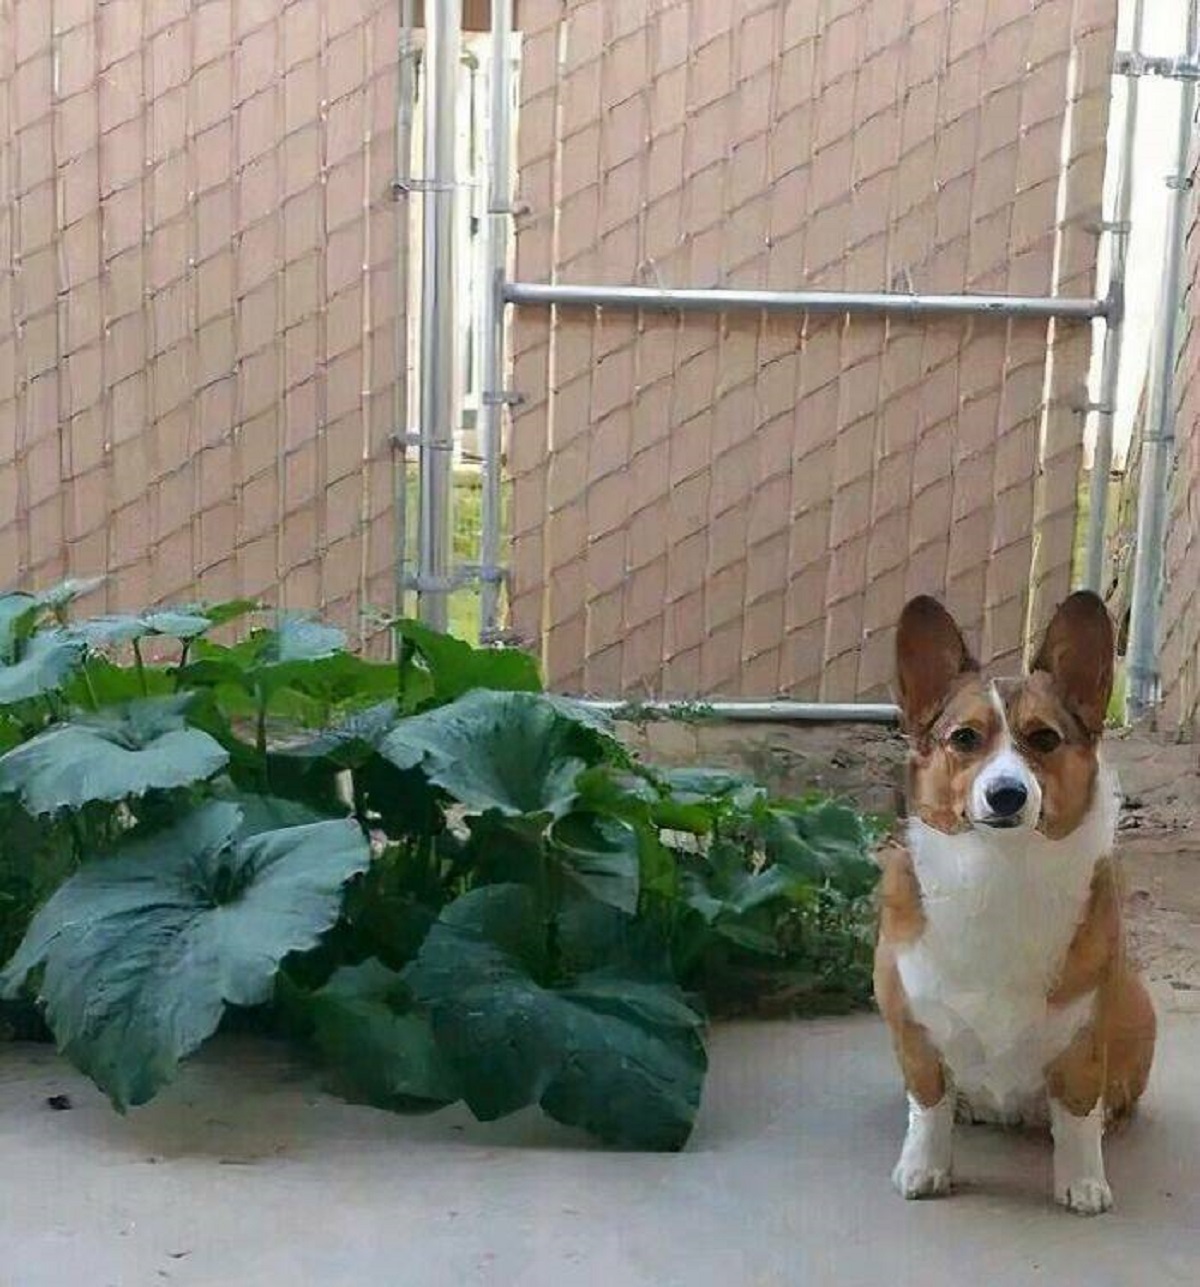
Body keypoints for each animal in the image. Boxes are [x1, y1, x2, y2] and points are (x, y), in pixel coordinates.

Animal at [875, 589, 1158, 1209]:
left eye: (1045, 739)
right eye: (964, 739)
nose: (1006, 795)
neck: (1001, 869)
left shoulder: (1084, 1034)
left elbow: (1076, 1113)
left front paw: (1083, 1184)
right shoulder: (914, 1025)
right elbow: (928, 1104)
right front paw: (923, 1169)